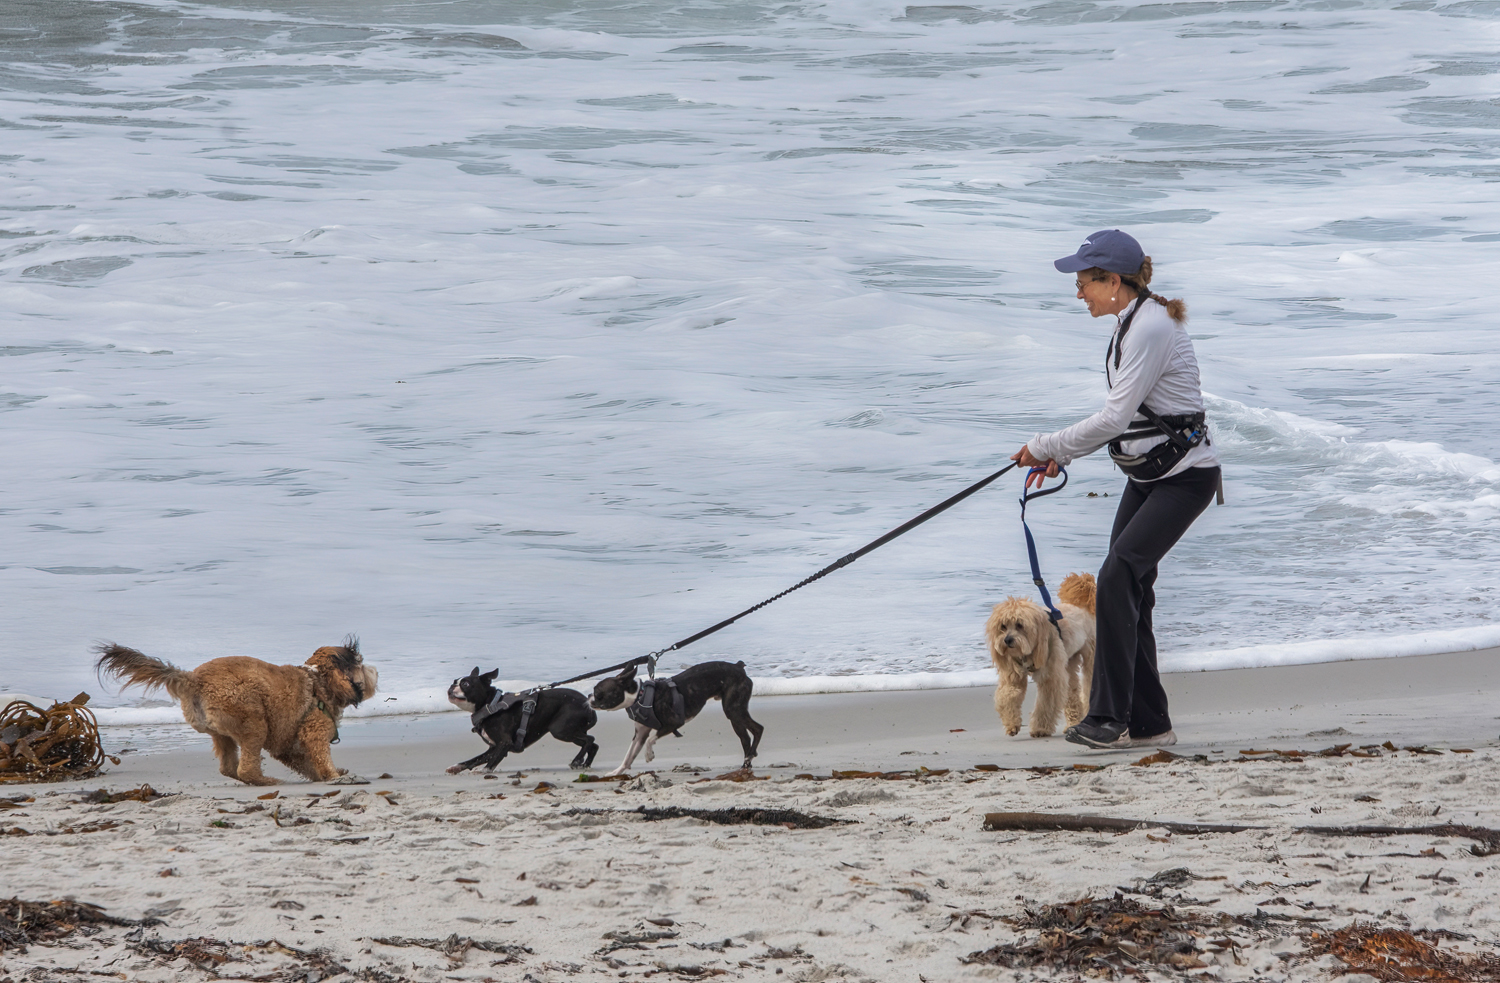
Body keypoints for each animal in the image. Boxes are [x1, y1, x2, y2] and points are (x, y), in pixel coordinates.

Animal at [94, 633, 378, 786]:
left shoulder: (287, 745)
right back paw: (267, 781)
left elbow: (305, 762)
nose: (375, 671)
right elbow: (319, 757)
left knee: (229, 768)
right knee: (246, 768)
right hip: (253, 721)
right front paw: (334, 776)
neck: (318, 682)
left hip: (222, 732)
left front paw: (330, 776)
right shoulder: (313, 732)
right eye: (361, 664)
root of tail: (194, 679)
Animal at [990, 570, 1098, 738]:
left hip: (1089, 655)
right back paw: (1073, 724)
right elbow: (1008, 695)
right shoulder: (1013, 677)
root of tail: (1081, 606)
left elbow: (1045, 704)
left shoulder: (1050, 679)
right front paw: (1011, 723)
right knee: (1072, 692)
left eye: (1019, 625)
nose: (1007, 640)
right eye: (1003, 626)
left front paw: (1040, 728)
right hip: (1068, 663)